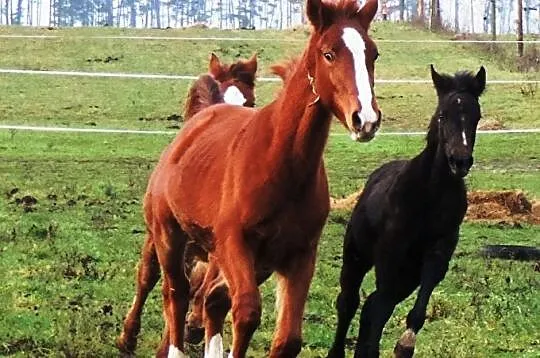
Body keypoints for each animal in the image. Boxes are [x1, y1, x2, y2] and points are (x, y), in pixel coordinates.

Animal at [118, 0, 382, 356]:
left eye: (373, 54)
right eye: (328, 53)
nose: (365, 119)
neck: (282, 165)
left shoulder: (298, 255)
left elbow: (287, 339)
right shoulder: (233, 244)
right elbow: (245, 313)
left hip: (253, 262)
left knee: (210, 298)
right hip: (168, 235)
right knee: (174, 291)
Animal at [326, 65, 488, 358]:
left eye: (476, 116)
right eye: (442, 115)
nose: (459, 161)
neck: (430, 195)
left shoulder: (438, 253)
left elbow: (414, 309)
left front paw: (404, 345)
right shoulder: (390, 255)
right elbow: (378, 309)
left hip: (408, 273)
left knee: (372, 305)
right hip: (357, 256)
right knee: (350, 302)